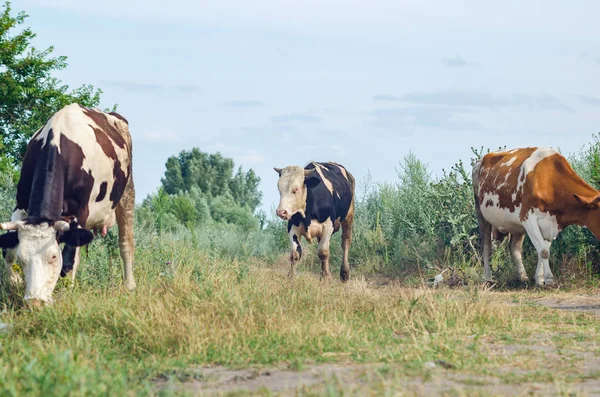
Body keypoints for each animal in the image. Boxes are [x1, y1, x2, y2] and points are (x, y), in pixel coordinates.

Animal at [474, 147, 600, 286]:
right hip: (481, 215)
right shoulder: (528, 219)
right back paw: (488, 278)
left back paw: (523, 277)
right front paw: (549, 279)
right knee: (486, 246)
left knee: (514, 248)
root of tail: (481, 160)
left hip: (516, 225)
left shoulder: (552, 224)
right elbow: (544, 252)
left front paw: (539, 279)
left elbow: (543, 249)